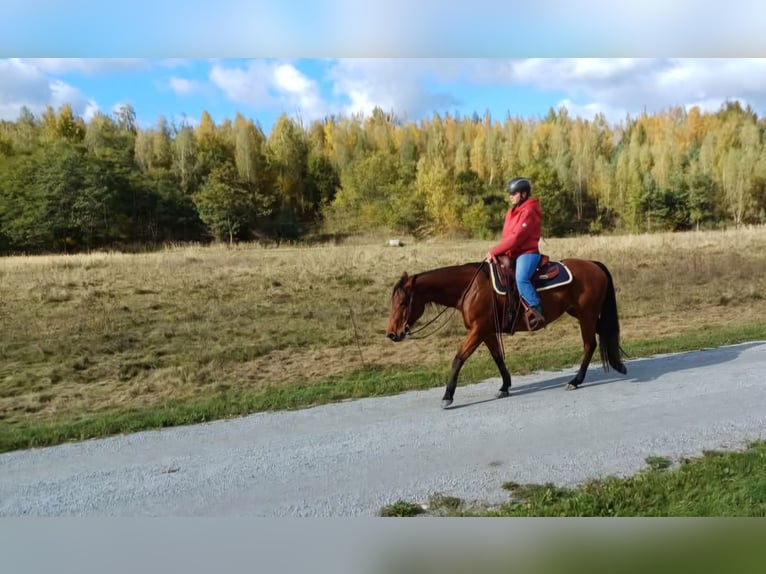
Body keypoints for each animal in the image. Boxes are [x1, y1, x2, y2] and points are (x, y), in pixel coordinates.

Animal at [386, 256, 628, 408]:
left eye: (403, 303)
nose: (391, 334)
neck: (471, 288)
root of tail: (593, 264)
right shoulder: (487, 331)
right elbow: (498, 358)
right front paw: (504, 386)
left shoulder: (479, 329)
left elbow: (459, 358)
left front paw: (448, 396)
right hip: (582, 313)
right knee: (603, 334)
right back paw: (618, 364)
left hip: (586, 315)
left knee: (589, 344)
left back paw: (576, 381)